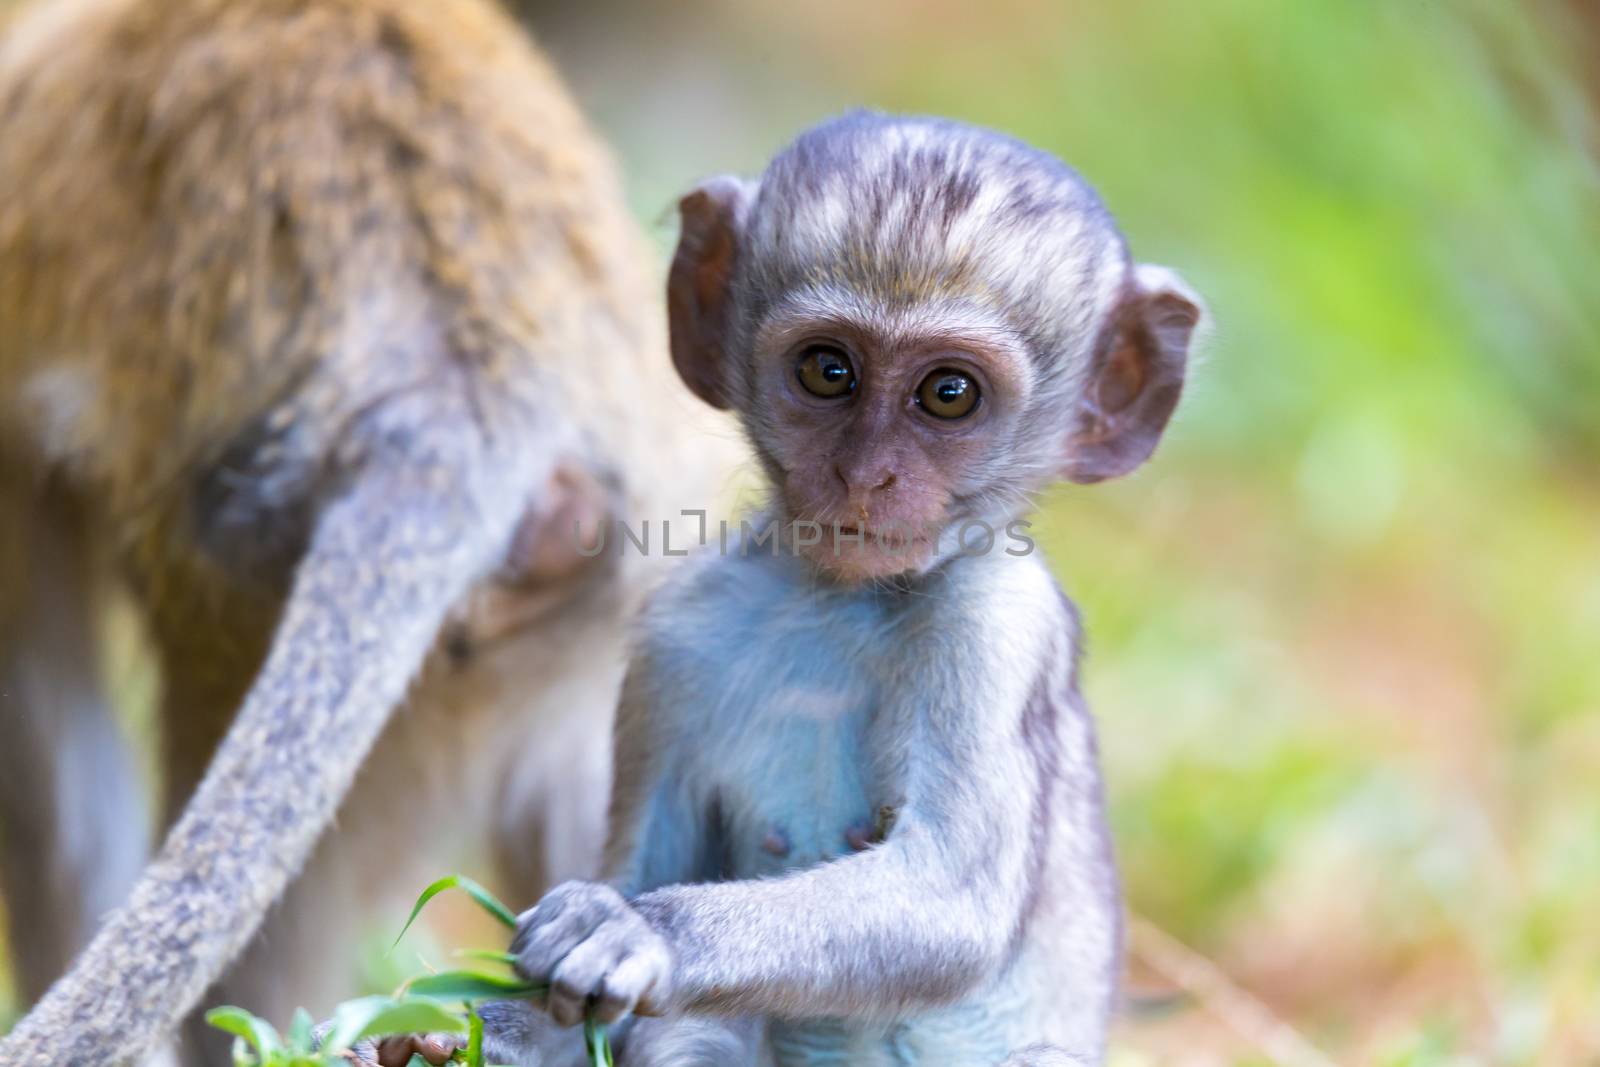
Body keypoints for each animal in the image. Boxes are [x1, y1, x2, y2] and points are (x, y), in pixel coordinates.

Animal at [371, 112, 1203, 1062]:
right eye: (827, 370)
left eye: (949, 393)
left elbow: (951, 900)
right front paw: (483, 1032)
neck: (841, 602)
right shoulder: (674, 635)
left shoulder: (996, 621)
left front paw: (643, 930)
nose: (865, 474)